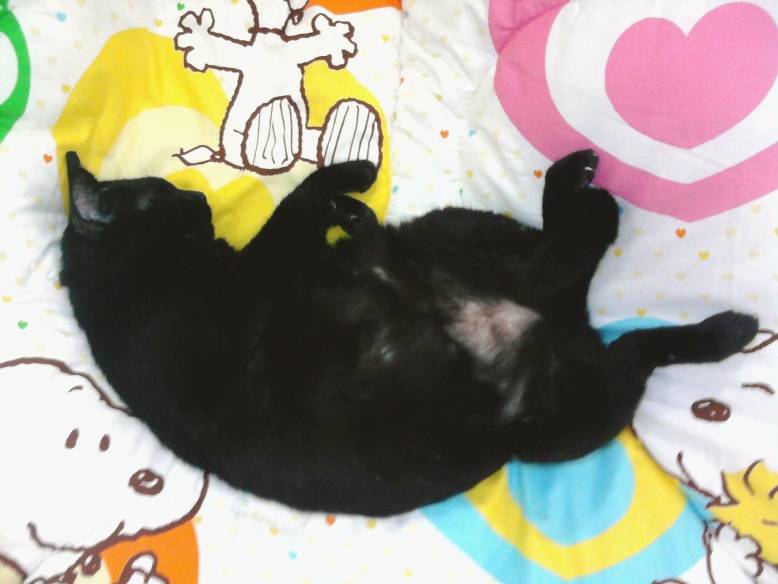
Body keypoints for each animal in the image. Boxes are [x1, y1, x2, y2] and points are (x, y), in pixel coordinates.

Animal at [60, 150, 758, 516]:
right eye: (164, 195)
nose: (201, 202)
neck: (125, 287)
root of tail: (551, 321)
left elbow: (304, 221)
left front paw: (347, 197)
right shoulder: (256, 280)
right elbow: (290, 210)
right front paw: (348, 174)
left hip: (459, 228)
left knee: (563, 249)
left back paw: (571, 178)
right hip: (573, 418)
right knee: (626, 331)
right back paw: (726, 330)